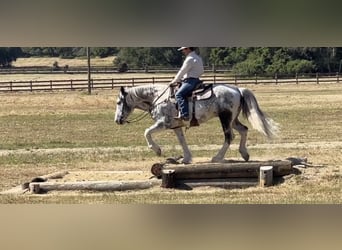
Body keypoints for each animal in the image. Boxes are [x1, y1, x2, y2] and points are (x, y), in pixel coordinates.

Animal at [115, 83, 278, 164]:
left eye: (118, 102)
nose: (117, 120)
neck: (157, 98)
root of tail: (237, 89)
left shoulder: (163, 123)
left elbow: (147, 132)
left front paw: (157, 150)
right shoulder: (176, 126)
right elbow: (182, 141)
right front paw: (186, 158)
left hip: (225, 118)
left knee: (229, 136)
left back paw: (217, 158)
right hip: (233, 120)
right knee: (243, 130)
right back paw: (244, 153)